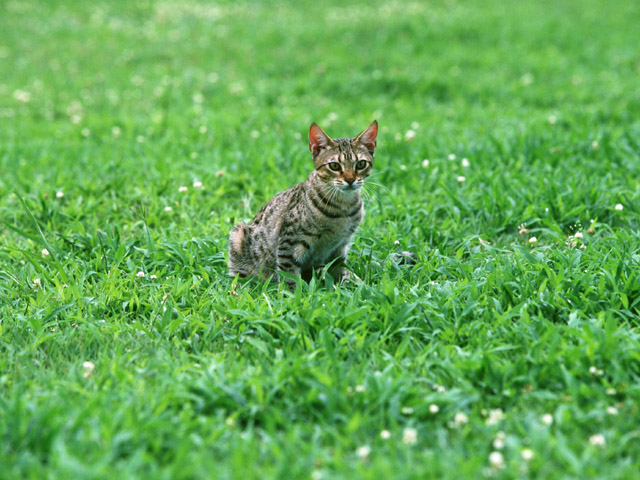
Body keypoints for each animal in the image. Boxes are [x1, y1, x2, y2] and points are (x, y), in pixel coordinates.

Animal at [229, 120, 378, 284]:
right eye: (334, 165)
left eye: (361, 164)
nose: (350, 180)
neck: (343, 207)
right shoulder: (289, 243)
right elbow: (290, 277)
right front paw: (292, 291)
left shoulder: (340, 246)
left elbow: (339, 270)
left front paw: (345, 284)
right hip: (238, 234)